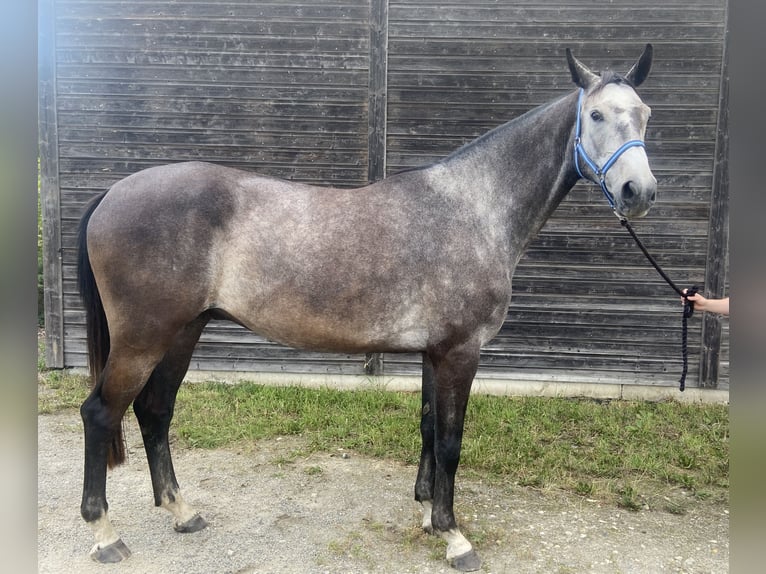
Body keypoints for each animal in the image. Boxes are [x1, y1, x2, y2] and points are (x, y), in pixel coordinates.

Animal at [75, 46, 656, 572]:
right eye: (596, 115)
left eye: (645, 113)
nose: (639, 191)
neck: (472, 208)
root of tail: (113, 193)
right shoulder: (460, 352)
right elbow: (451, 442)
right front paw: (455, 538)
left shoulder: (434, 352)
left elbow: (428, 428)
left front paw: (427, 514)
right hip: (144, 338)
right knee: (101, 413)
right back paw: (105, 534)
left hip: (183, 332)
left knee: (155, 411)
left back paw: (183, 512)